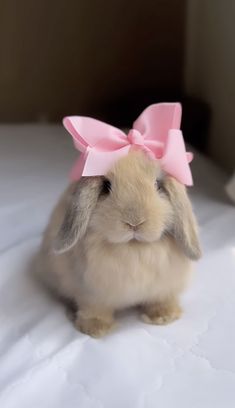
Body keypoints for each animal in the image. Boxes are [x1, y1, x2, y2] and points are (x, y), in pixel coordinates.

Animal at [38, 150, 200, 338]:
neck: (133, 248)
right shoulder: (91, 294)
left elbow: (161, 299)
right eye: (106, 186)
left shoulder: (164, 288)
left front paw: (164, 317)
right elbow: (95, 310)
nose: (134, 222)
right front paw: (95, 329)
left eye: (157, 184)